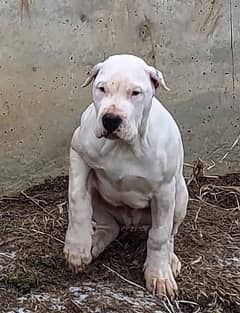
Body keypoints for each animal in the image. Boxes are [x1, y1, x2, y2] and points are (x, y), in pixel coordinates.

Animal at [64, 53, 189, 298]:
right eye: (101, 88)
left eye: (135, 93)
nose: (111, 119)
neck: (123, 146)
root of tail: (130, 220)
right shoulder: (79, 156)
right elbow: (78, 202)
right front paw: (76, 248)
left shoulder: (164, 192)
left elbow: (159, 236)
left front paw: (159, 275)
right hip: (100, 198)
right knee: (109, 226)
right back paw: (93, 242)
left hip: (180, 197)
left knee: (170, 233)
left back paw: (170, 261)